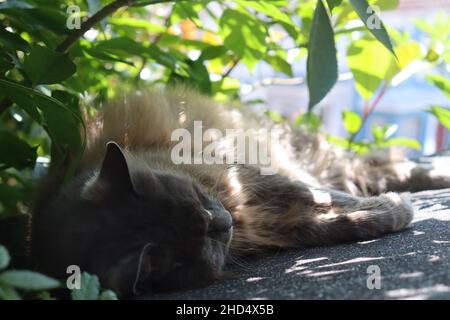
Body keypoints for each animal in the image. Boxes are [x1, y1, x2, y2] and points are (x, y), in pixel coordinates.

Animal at [31, 85, 450, 298]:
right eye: (197, 244)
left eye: (198, 204)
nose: (223, 222)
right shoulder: (272, 223)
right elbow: (331, 222)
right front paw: (382, 215)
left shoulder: (240, 175)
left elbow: (320, 197)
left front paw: (394, 210)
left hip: (305, 154)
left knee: (383, 168)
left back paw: (434, 174)